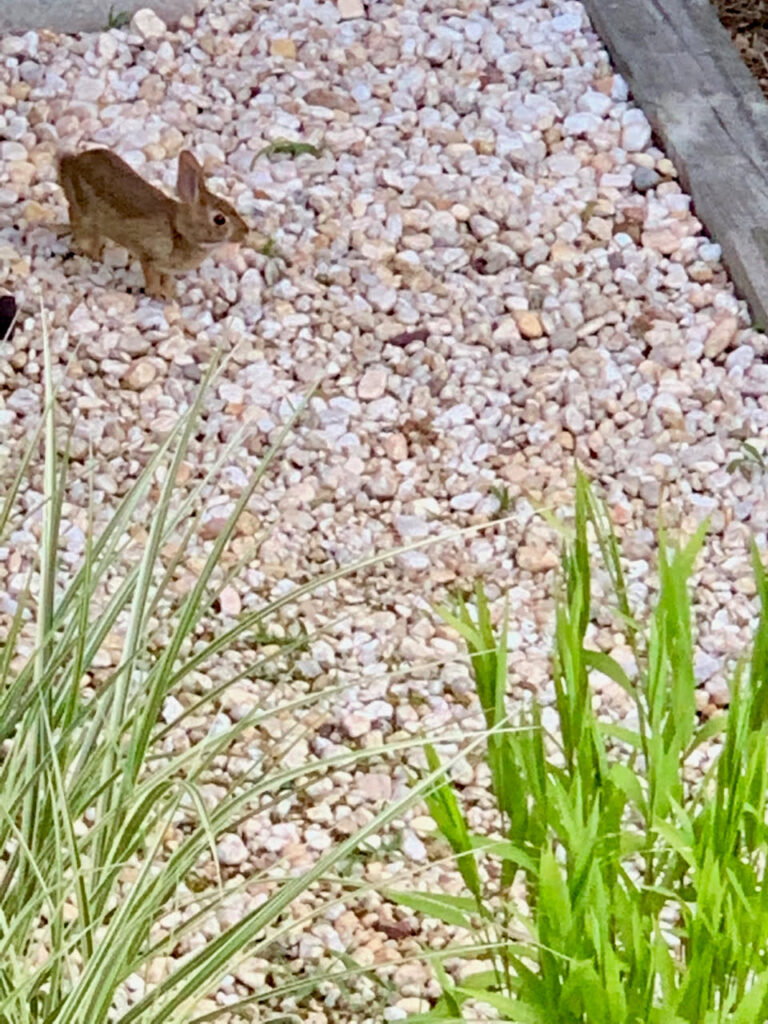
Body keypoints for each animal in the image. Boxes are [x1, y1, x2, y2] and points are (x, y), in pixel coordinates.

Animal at [57, 148, 249, 299]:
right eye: (219, 219)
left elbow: (166, 279)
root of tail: (69, 163)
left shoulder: (166, 268)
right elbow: (152, 278)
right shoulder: (149, 257)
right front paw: (157, 294)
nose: (245, 232)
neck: (180, 231)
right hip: (84, 214)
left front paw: (171, 294)